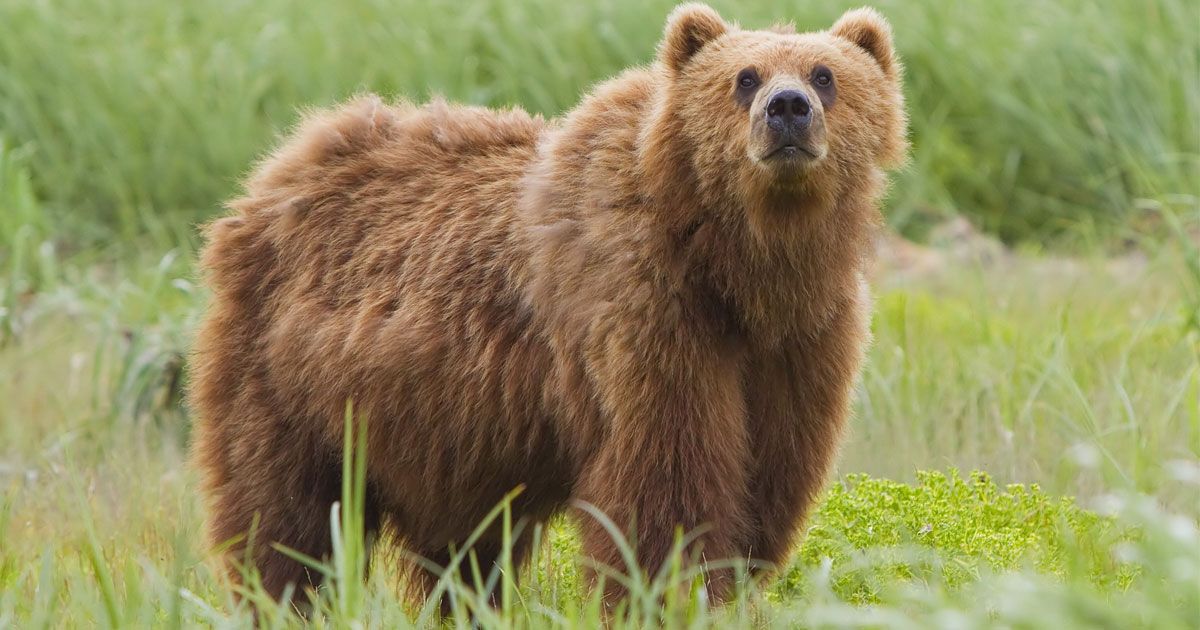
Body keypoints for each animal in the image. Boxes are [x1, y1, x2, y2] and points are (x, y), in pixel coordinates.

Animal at [187, 2, 902, 607]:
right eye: (744, 78)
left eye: (825, 75)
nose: (788, 108)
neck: (740, 269)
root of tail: (280, 166)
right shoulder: (645, 315)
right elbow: (665, 483)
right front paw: (672, 592)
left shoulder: (801, 341)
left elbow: (770, 478)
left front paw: (734, 585)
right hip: (288, 377)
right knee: (285, 514)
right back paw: (282, 598)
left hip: (444, 431)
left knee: (462, 547)